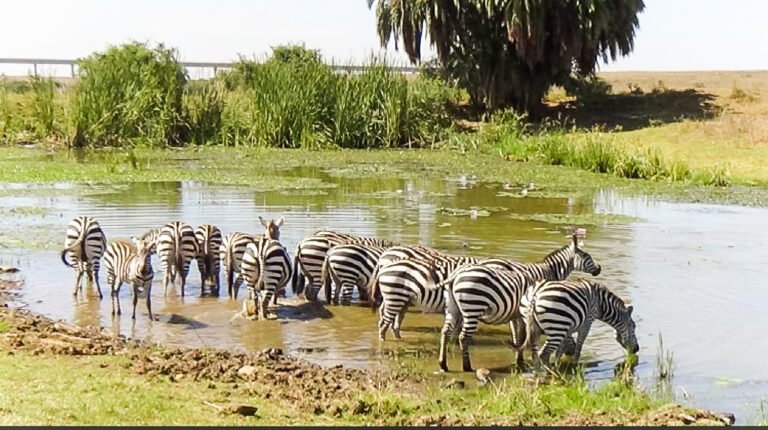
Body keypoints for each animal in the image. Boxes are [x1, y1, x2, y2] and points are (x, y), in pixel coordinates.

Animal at [436, 235, 602, 372]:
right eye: (587, 256)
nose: (599, 270)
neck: (551, 270)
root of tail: (456, 274)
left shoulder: (516, 314)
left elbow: (518, 337)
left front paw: (519, 359)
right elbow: (523, 338)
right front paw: (521, 361)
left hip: (453, 308)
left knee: (446, 332)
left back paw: (443, 364)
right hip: (473, 307)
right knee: (464, 337)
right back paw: (467, 367)